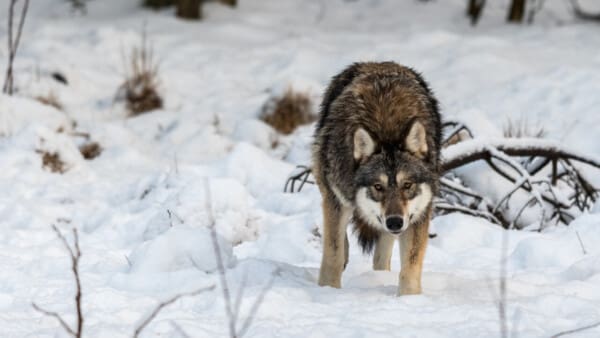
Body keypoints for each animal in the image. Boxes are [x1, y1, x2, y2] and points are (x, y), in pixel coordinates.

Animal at [314, 61, 440, 296]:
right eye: (378, 186)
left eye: (407, 185)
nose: (395, 221)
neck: (386, 129)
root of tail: (378, 63)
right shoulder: (336, 198)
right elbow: (333, 255)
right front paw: (328, 290)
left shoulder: (418, 213)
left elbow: (410, 267)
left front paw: (409, 299)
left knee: (382, 256)